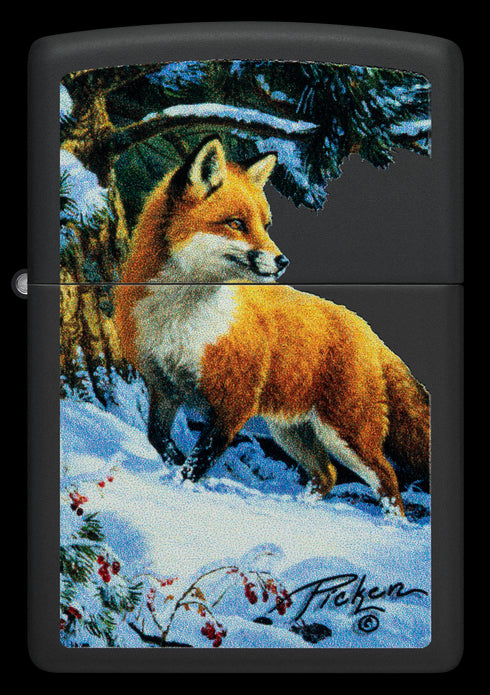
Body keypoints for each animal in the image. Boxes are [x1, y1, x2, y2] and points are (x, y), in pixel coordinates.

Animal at [114, 135, 430, 517]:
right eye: (236, 223)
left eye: (265, 225)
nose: (283, 261)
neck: (179, 319)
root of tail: (366, 328)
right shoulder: (163, 388)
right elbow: (159, 440)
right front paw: (171, 471)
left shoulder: (234, 403)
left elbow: (199, 460)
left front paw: (179, 490)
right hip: (291, 432)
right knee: (327, 475)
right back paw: (300, 508)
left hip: (345, 433)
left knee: (387, 479)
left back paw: (393, 523)